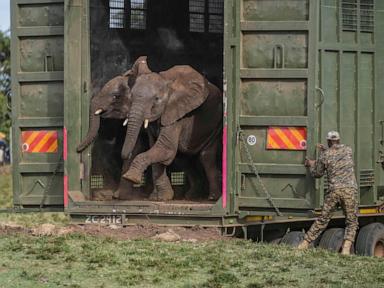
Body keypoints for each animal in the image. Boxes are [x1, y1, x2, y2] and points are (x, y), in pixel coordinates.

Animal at [120, 57, 222, 201]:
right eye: (131, 97)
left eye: (156, 99)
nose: (126, 155)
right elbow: (156, 150)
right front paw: (161, 198)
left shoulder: (177, 115)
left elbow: (165, 149)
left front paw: (131, 177)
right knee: (184, 158)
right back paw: (191, 196)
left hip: (216, 123)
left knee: (206, 156)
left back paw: (212, 197)